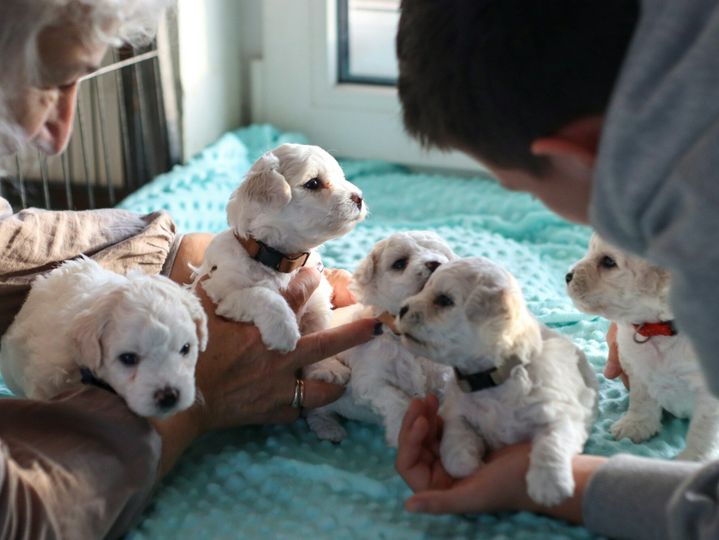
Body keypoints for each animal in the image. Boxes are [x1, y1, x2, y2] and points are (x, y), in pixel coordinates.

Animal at [310, 232, 456, 448]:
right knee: (317, 413)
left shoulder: (441, 374)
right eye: (399, 263)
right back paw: (329, 429)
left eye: (442, 254)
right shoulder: (370, 380)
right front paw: (401, 435)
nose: (435, 263)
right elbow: (397, 401)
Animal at [400, 258, 596, 506]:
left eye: (444, 300)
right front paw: (465, 464)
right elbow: (455, 436)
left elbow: (552, 441)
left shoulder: (561, 412)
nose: (401, 308)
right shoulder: (456, 411)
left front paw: (549, 484)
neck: (490, 379)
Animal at [568, 232, 719, 460]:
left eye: (608, 262)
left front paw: (693, 459)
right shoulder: (637, 366)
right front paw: (636, 425)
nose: (568, 276)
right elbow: (642, 400)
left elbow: (704, 428)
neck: (661, 331)